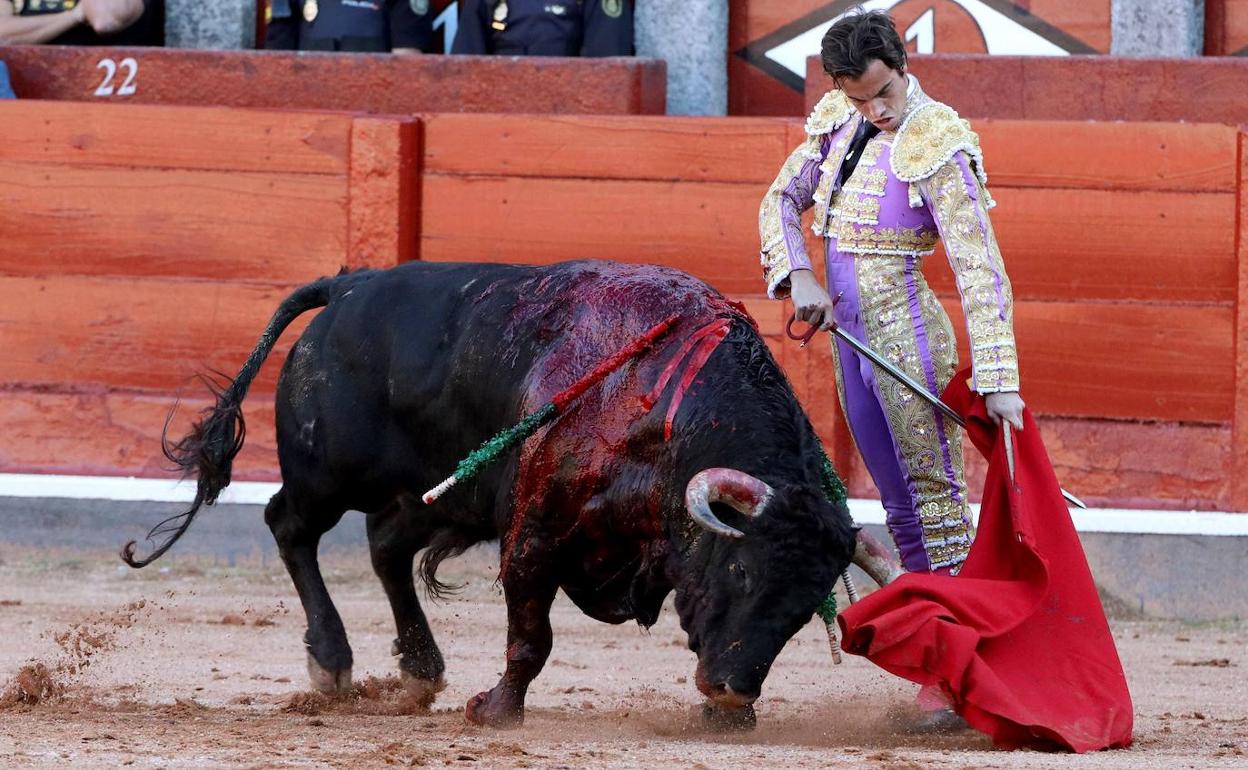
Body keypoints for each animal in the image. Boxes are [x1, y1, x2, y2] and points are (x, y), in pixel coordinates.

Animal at [121, 259, 873, 728]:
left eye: (807, 608)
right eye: (741, 570)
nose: (733, 691)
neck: (663, 411)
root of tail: (350, 287)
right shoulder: (536, 529)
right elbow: (531, 635)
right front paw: (496, 711)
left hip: (432, 492)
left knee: (385, 548)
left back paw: (421, 669)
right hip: (330, 473)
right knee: (290, 526)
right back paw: (332, 663)